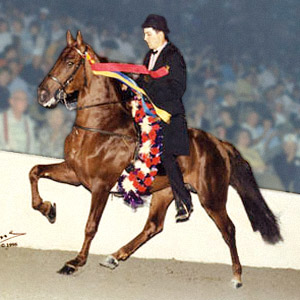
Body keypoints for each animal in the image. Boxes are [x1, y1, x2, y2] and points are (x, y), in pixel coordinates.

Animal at [29, 31, 282, 288]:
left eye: (70, 62)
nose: (43, 94)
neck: (101, 127)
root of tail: (219, 144)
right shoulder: (74, 172)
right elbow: (35, 171)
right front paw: (48, 209)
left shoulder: (101, 185)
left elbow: (91, 226)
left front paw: (75, 262)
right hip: (165, 191)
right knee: (153, 226)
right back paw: (115, 256)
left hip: (211, 197)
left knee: (228, 229)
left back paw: (237, 277)